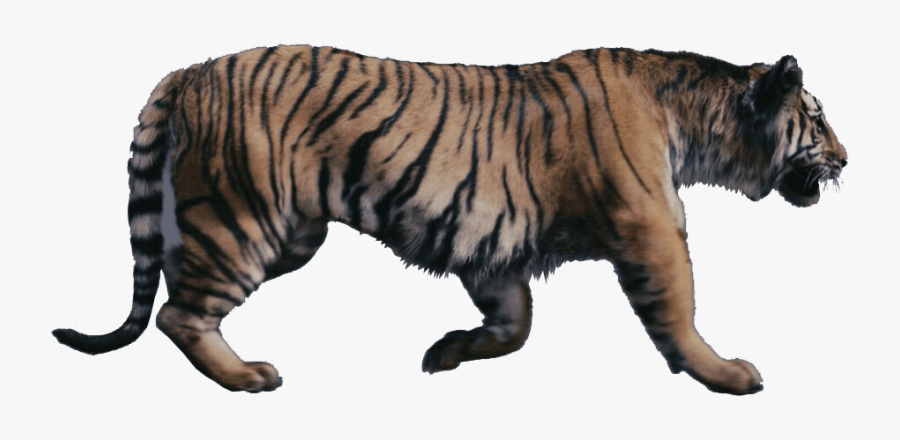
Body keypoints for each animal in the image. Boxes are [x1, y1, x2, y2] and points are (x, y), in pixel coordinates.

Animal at [53, 44, 847, 395]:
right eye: (816, 120)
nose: (847, 157)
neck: (699, 122)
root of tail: (189, 69)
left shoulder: (493, 249)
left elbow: (515, 324)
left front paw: (449, 353)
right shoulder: (651, 227)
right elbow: (678, 311)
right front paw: (727, 373)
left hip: (290, 234)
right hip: (240, 219)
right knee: (176, 313)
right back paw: (247, 376)